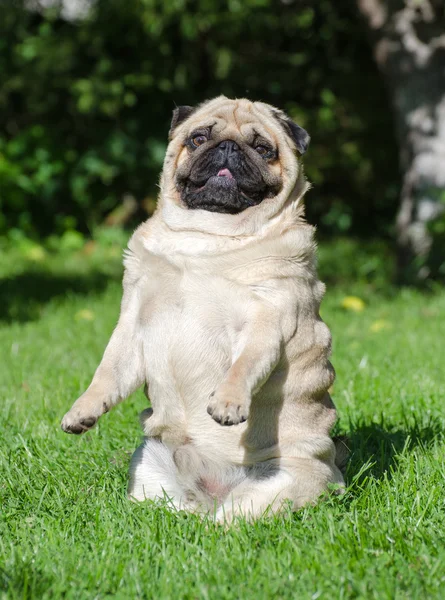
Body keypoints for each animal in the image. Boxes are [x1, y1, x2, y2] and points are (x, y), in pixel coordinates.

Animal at [60, 95, 344, 520]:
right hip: (149, 462)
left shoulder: (266, 319)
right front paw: (83, 411)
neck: (208, 236)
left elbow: (244, 365)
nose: (227, 147)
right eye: (198, 138)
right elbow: (107, 371)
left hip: (283, 482)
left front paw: (227, 402)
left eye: (263, 149)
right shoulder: (132, 323)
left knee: (233, 520)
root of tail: (209, 498)